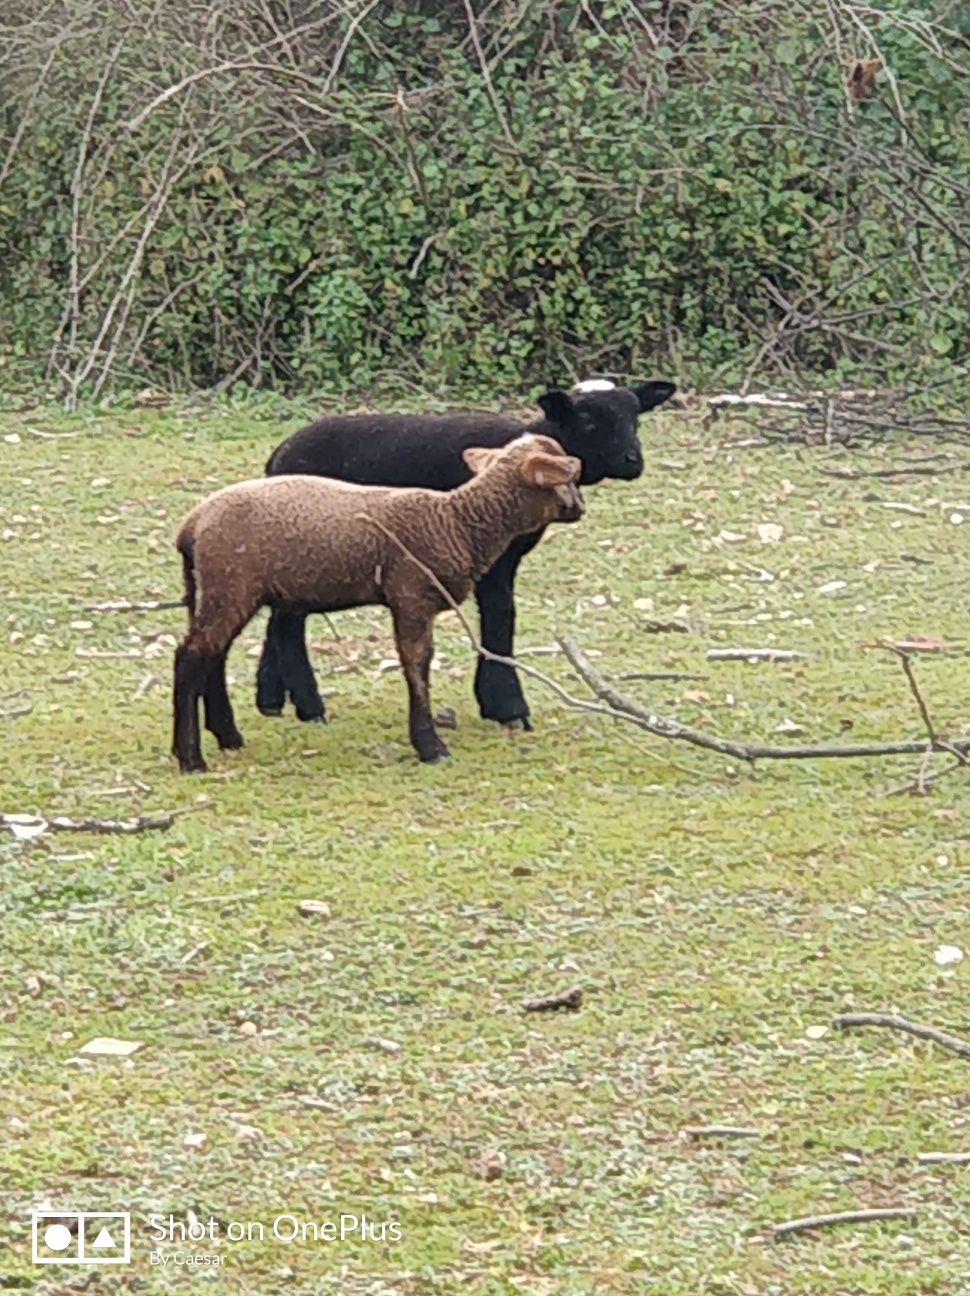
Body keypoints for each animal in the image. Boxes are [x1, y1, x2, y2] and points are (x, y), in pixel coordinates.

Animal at [172, 430, 583, 772]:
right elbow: (417, 665)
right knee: (191, 658)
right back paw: (190, 758)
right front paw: (430, 747)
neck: (457, 521)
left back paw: (228, 737)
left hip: (214, 590)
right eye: (566, 477)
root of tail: (191, 526)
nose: (580, 508)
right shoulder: (411, 596)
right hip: (230, 584)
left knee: (213, 658)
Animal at [255, 381, 674, 730]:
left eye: (635, 417)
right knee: (288, 621)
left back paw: (272, 698)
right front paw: (508, 707)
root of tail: (278, 456)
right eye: (587, 419)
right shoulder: (491, 556)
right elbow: (501, 614)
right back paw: (309, 705)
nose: (632, 461)